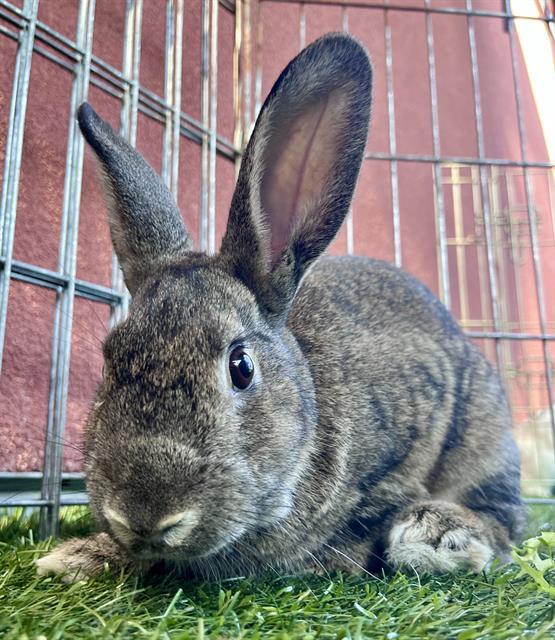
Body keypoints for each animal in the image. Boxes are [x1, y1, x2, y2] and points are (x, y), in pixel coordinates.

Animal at [36, 33, 524, 583]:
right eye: (108, 361)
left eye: (241, 367)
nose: (143, 515)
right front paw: (79, 556)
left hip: (483, 435)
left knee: (505, 519)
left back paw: (440, 534)